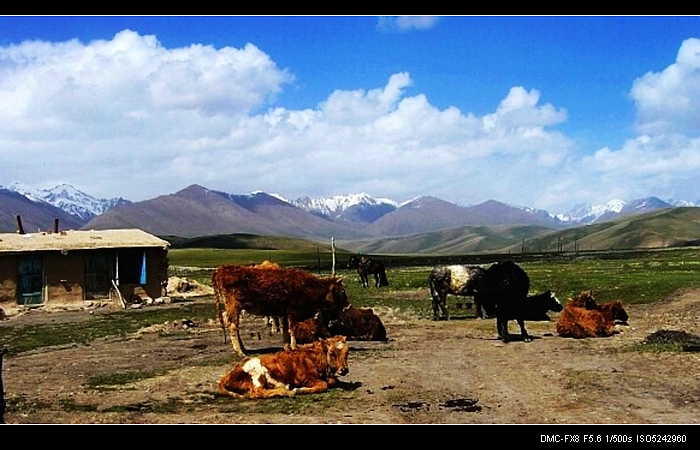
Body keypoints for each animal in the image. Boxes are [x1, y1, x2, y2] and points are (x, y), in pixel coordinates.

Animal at [217, 336, 350, 400]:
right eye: (332, 353)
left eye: (347, 353)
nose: (344, 370)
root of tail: (225, 377)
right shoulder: (304, 378)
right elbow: (324, 385)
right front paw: (299, 390)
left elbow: (333, 381)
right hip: (257, 375)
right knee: (257, 393)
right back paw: (286, 392)